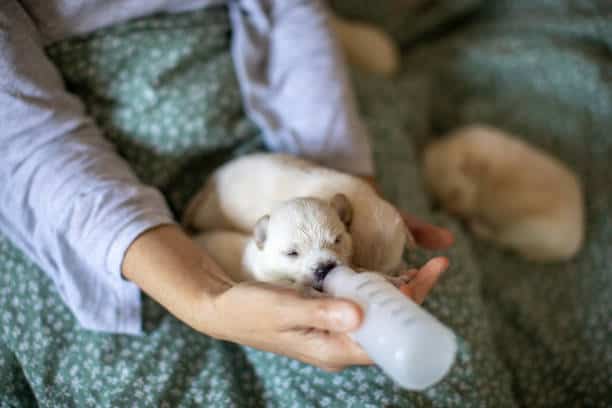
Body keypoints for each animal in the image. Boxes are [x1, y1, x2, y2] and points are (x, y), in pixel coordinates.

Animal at [424, 123, 584, 262]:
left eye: (456, 194)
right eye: (436, 197)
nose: (446, 212)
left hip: (526, 231)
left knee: (502, 240)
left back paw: (478, 227)